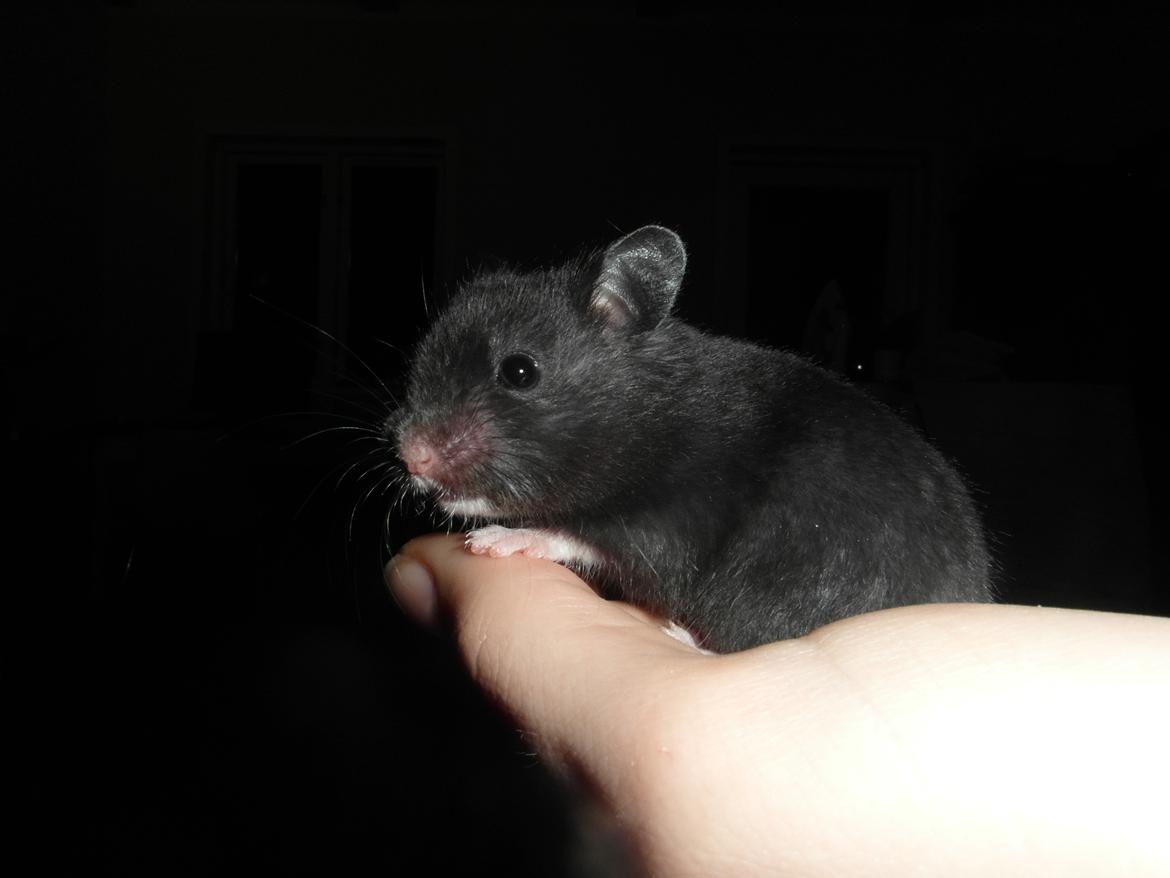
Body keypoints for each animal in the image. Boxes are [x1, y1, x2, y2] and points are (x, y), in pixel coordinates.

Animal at [389, 225, 992, 653]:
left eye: (519, 372)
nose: (411, 456)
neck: (650, 420)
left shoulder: (665, 526)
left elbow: (578, 533)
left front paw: (490, 540)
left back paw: (681, 635)